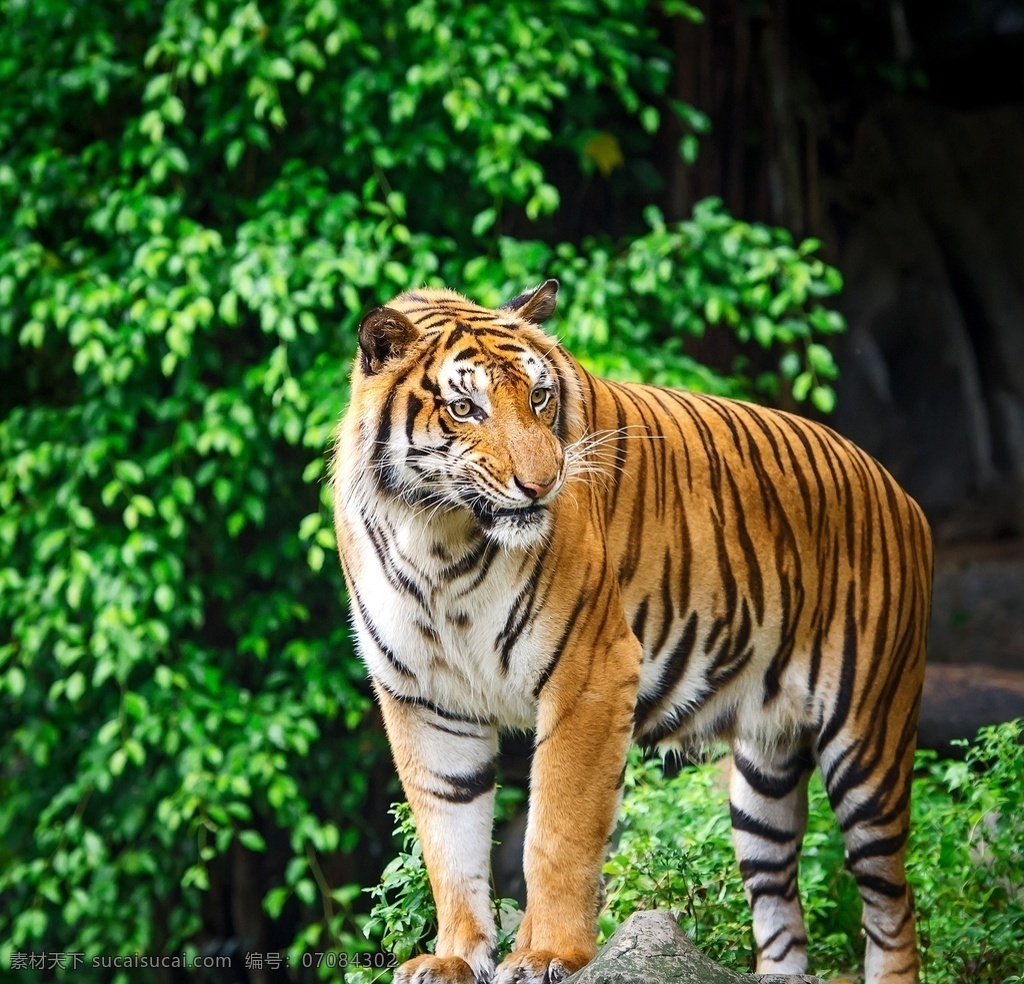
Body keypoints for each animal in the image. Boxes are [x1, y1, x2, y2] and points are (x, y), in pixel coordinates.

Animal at [331, 278, 932, 984]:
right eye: (463, 408)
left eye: (539, 397)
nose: (543, 483)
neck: (439, 539)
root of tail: (900, 491)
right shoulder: (424, 699)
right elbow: (448, 842)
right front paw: (454, 958)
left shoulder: (589, 672)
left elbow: (556, 831)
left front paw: (547, 953)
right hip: (764, 776)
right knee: (779, 899)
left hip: (868, 740)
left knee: (892, 902)